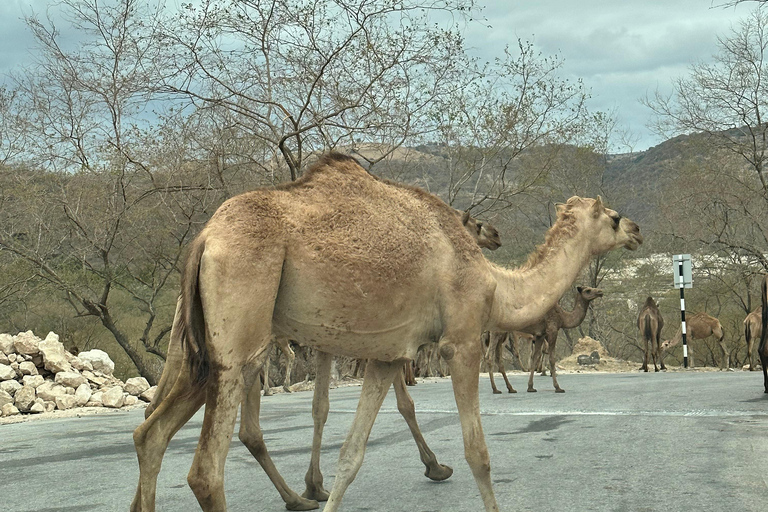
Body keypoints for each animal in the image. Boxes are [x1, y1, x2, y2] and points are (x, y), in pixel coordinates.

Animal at [132, 152, 640, 512]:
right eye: (613, 217)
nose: (636, 229)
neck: (495, 284)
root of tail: (205, 239)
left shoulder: (385, 356)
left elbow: (351, 455)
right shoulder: (461, 341)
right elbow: (478, 452)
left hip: (205, 351)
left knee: (150, 435)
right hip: (242, 330)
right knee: (205, 471)